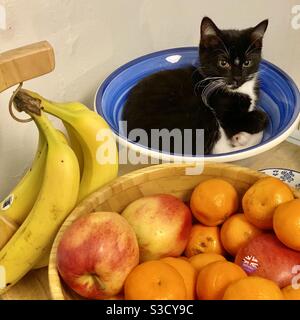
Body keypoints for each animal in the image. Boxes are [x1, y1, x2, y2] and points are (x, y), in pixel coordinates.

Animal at [123, 16, 268, 156]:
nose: (237, 78)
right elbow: (255, 118)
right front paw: (242, 134)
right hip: (200, 118)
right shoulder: (225, 116)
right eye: (223, 63)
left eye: (247, 63)